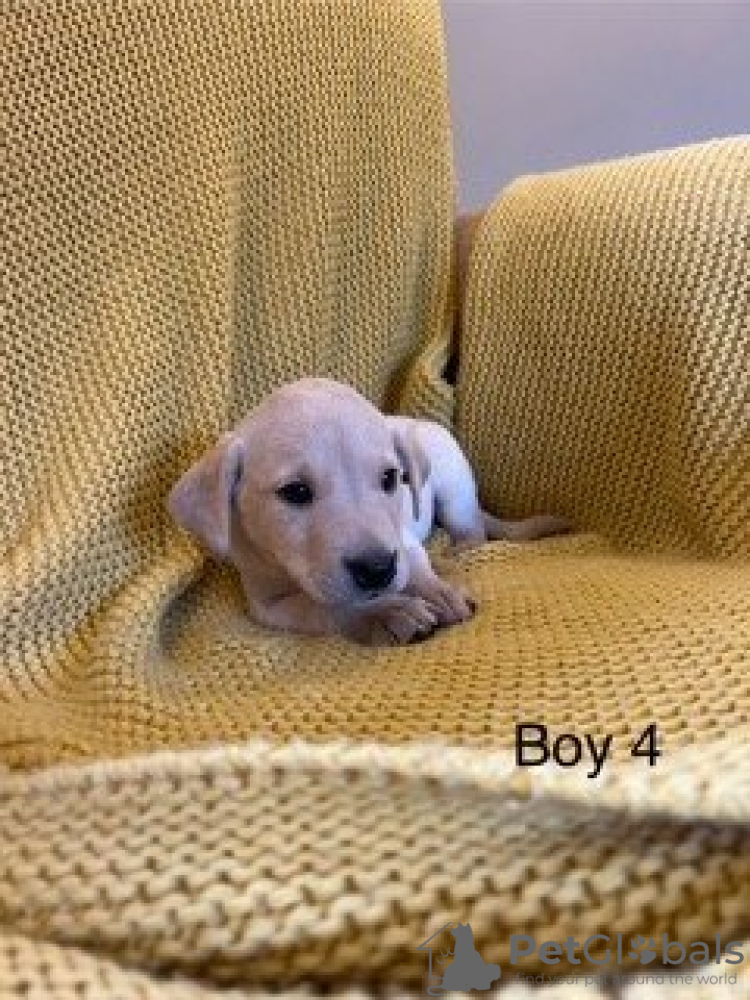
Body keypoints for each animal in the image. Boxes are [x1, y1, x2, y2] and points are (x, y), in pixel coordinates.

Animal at [168, 378, 570, 645]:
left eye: (391, 478)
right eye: (295, 492)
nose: (377, 569)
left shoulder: (401, 539)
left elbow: (416, 565)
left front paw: (436, 591)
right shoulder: (268, 604)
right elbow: (323, 607)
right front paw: (385, 611)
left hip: (453, 486)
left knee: (473, 532)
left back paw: (453, 552)